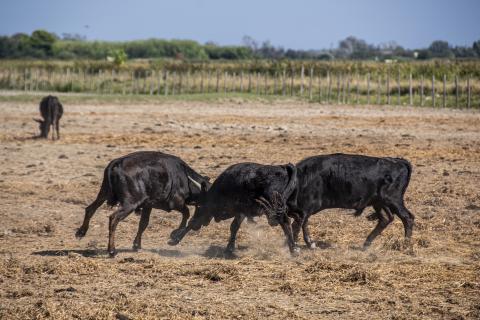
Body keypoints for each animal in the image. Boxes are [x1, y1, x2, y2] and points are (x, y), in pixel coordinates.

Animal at [167, 162, 298, 255]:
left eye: (198, 205)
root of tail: (283, 168)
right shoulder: (241, 211)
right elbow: (234, 227)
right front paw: (229, 248)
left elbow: (192, 223)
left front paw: (175, 239)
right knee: (289, 222)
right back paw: (293, 247)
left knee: (285, 221)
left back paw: (293, 249)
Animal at [286, 154, 414, 249]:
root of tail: (398, 161)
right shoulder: (305, 210)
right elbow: (303, 224)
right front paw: (308, 244)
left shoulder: (305, 209)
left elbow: (297, 225)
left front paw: (294, 246)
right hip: (379, 203)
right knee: (386, 218)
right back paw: (366, 244)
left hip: (393, 200)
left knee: (407, 217)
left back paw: (406, 245)